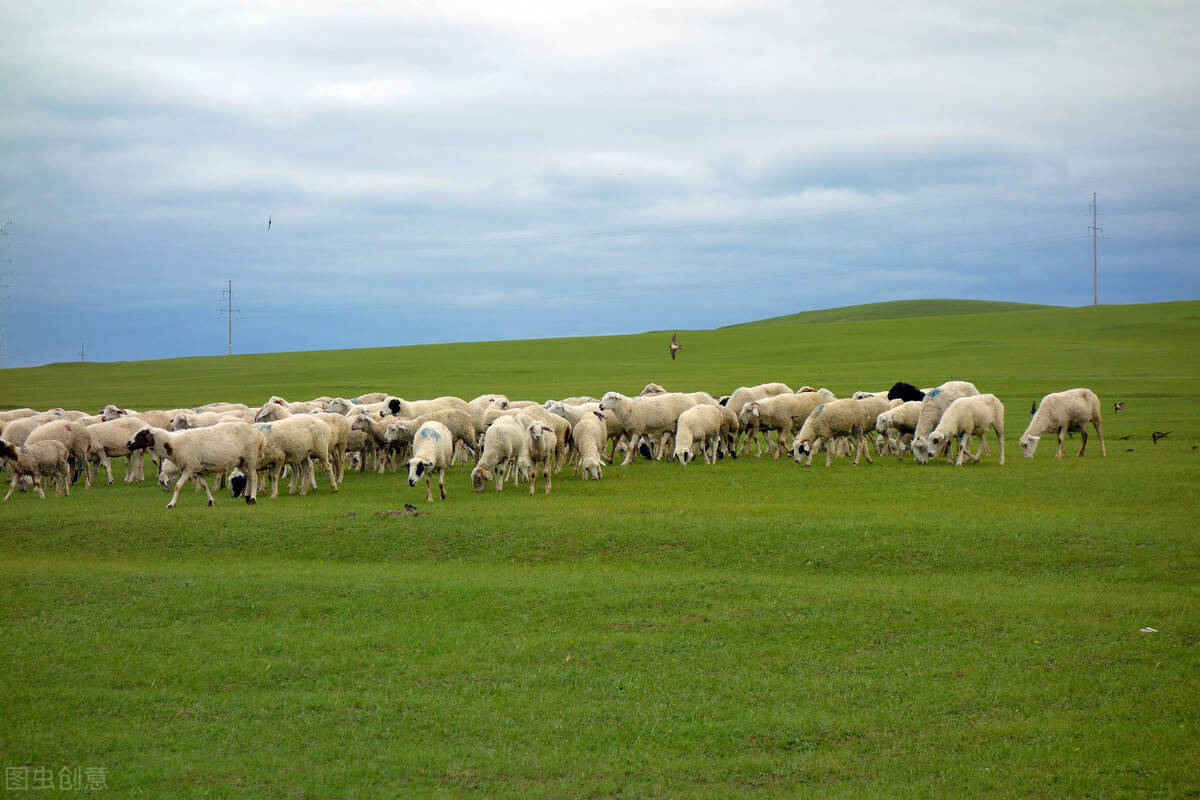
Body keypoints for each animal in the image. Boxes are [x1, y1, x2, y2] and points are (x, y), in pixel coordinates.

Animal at [127, 422, 265, 510]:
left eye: (141, 435)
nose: (128, 444)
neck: (173, 444)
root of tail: (260, 435)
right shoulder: (198, 470)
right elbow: (204, 486)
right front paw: (211, 502)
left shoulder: (188, 468)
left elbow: (178, 486)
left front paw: (171, 504)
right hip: (241, 461)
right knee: (249, 476)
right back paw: (247, 497)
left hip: (250, 458)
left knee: (254, 477)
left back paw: (253, 499)